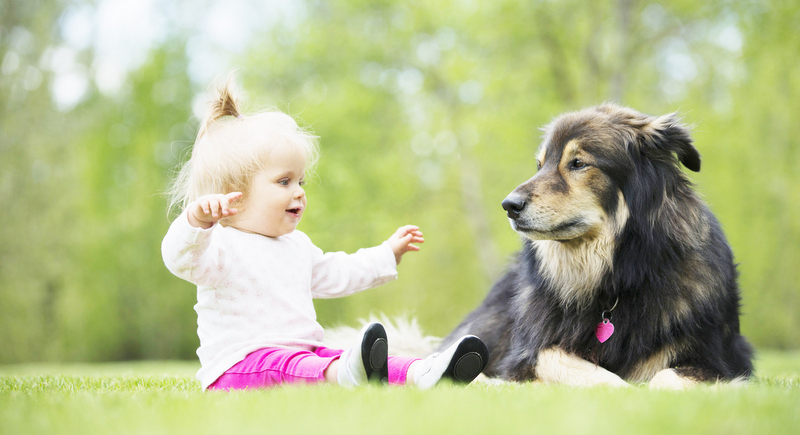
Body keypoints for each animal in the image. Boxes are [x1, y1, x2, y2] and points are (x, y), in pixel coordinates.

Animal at [440, 104, 752, 390]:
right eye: (540, 165)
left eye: (578, 163)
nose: (509, 206)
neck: (618, 281)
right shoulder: (529, 352)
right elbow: (580, 368)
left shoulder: (719, 360)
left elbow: (665, 379)